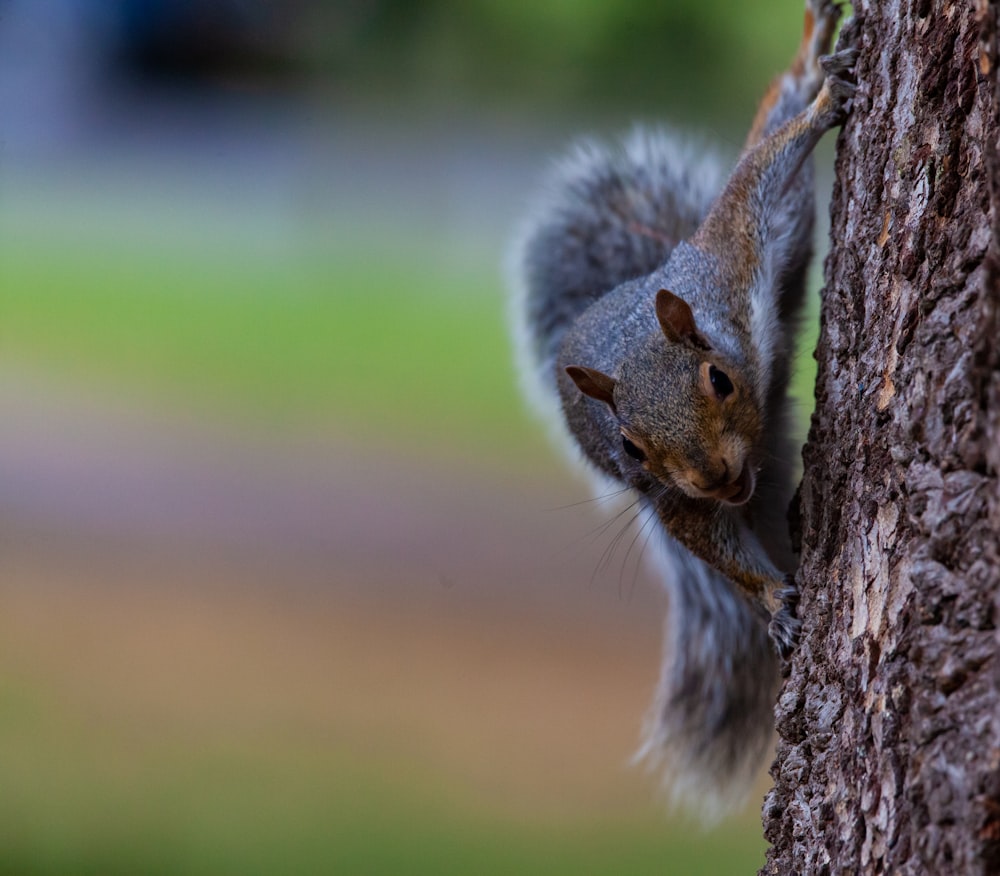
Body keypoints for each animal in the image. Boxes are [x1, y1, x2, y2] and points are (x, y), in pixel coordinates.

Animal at [512, 0, 856, 816]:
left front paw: (821, 101)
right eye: (630, 448)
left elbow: (760, 172)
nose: (716, 476)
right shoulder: (676, 503)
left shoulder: (732, 252)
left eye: (719, 381)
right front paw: (775, 600)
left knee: (771, 139)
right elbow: (712, 544)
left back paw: (810, 59)